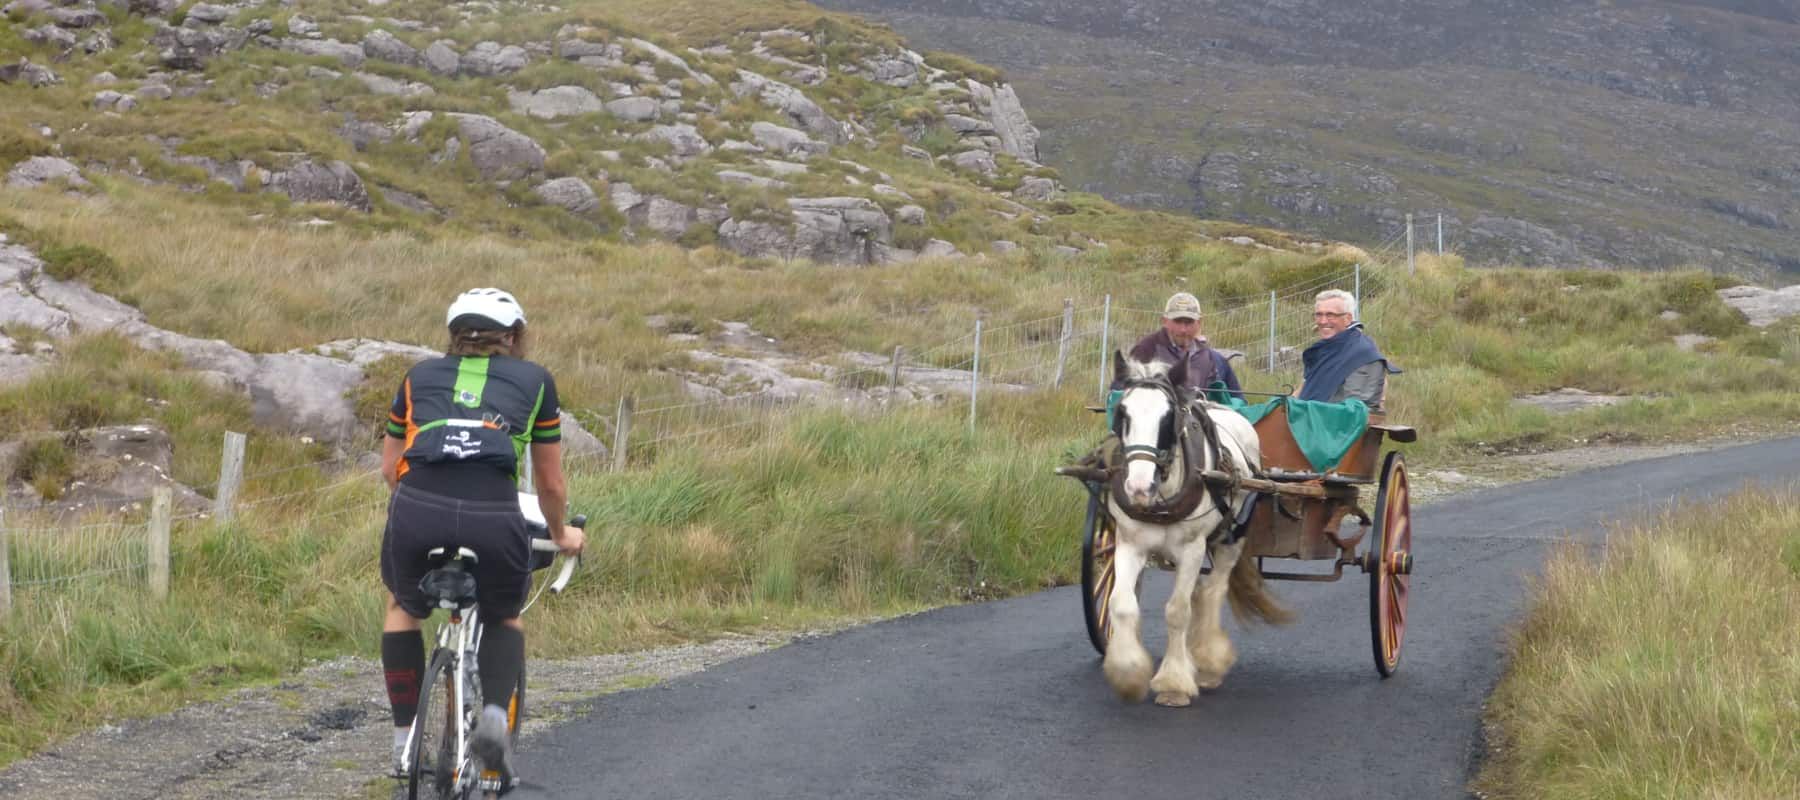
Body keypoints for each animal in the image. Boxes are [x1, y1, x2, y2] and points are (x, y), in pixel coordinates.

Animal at [1101, 353, 1288, 702]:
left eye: (1168, 417)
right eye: (1122, 413)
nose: (1138, 487)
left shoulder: (1191, 548)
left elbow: (1177, 611)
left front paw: (1173, 682)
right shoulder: (1130, 543)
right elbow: (1121, 604)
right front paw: (1128, 672)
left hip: (1230, 538)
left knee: (1213, 589)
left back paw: (1209, 661)